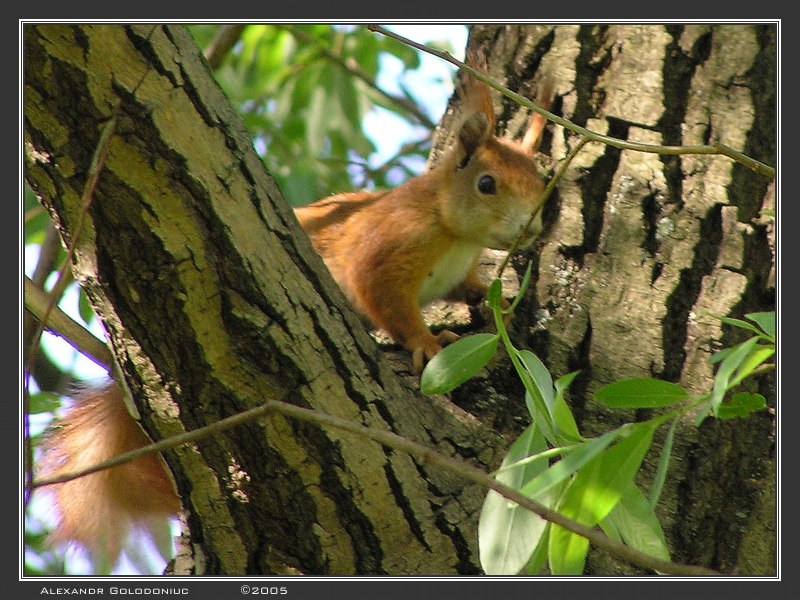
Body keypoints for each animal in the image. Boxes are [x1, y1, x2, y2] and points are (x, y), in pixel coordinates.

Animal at [36, 57, 552, 568]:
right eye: (486, 184)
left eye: (543, 180)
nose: (533, 229)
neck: (453, 231)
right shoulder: (386, 252)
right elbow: (386, 301)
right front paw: (427, 342)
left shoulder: (456, 272)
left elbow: (469, 289)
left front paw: (500, 303)